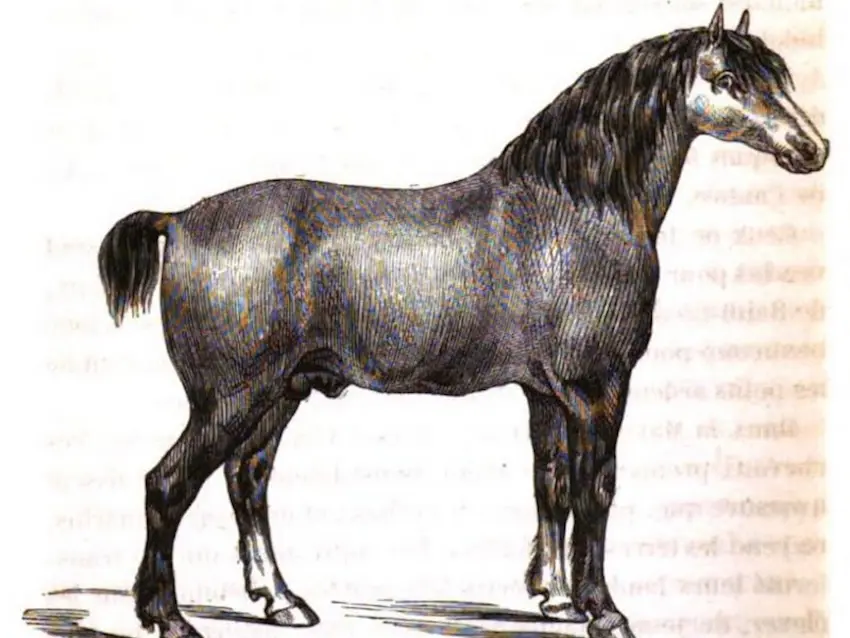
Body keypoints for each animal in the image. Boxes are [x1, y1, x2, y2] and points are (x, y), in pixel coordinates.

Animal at [96, 5, 828, 638]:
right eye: (729, 80)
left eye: (782, 75)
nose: (812, 148)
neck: (578, 207)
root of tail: (180, 219)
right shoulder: (598, 388)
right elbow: (596, 489)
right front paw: (604, 611)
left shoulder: (545, 393)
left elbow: (552, 484)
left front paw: (557, 599)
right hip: (232, 398)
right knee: (168, 485)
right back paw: (167, 616)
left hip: (279, 394)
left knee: (246, 482)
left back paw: (282, 602)